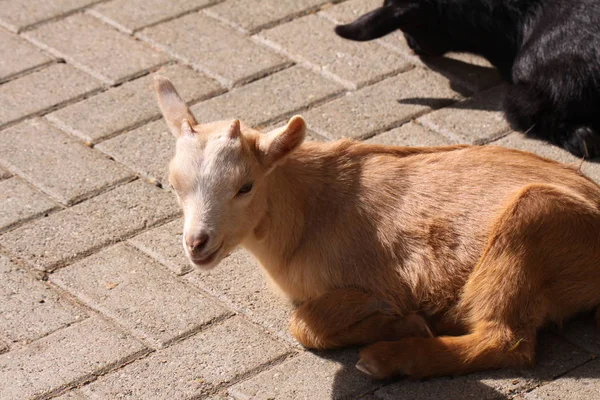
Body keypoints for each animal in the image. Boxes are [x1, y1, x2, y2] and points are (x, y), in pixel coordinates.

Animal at [155, 76, 600, 380]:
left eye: (245, 186)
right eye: (174, 185)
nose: (197, 243)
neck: (309, 212)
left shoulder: (380, 284)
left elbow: (304, 325)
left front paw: (403, 325)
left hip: (533, 224)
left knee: (508, 341)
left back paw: (389, 357)